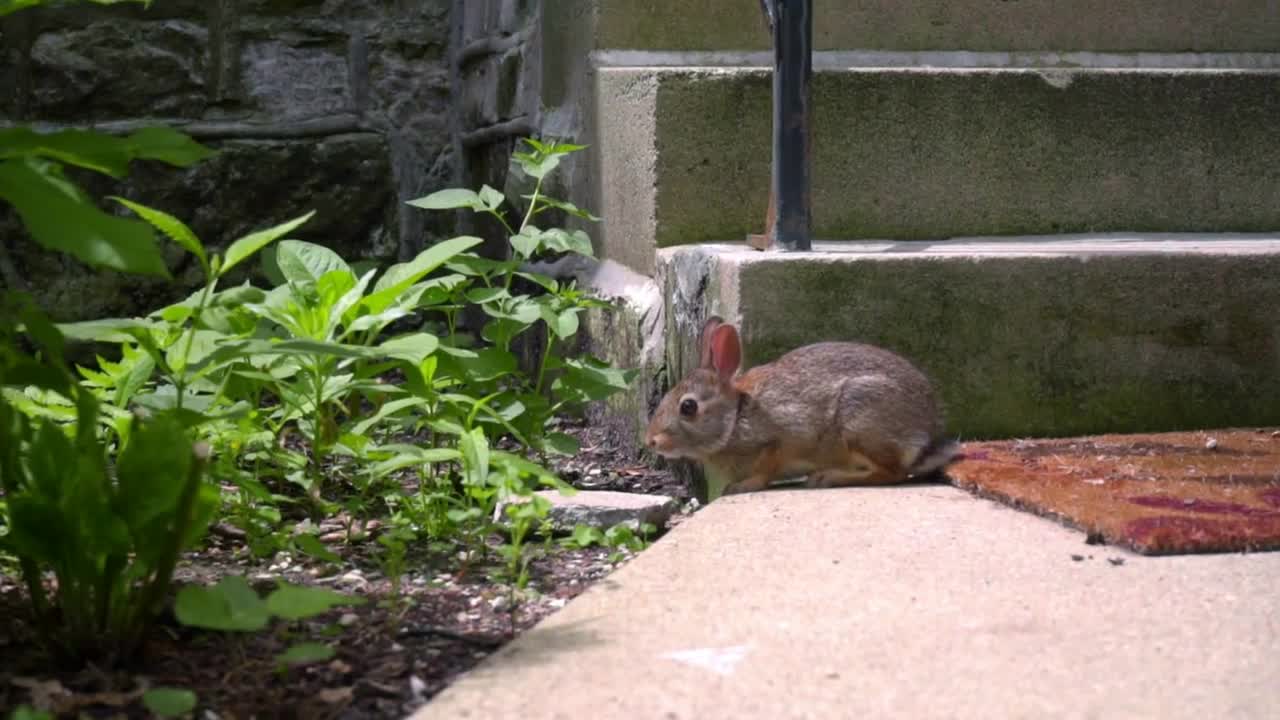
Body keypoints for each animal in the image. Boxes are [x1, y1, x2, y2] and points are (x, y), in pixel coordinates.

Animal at [650, 315, 962, 491]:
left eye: (688, 407)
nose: (651, 441)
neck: (735, 416)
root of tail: (925, 437)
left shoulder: (779, 440)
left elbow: (766, 470)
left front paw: (742, 486)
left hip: (859, 421)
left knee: (892, 473)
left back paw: (827, 478)